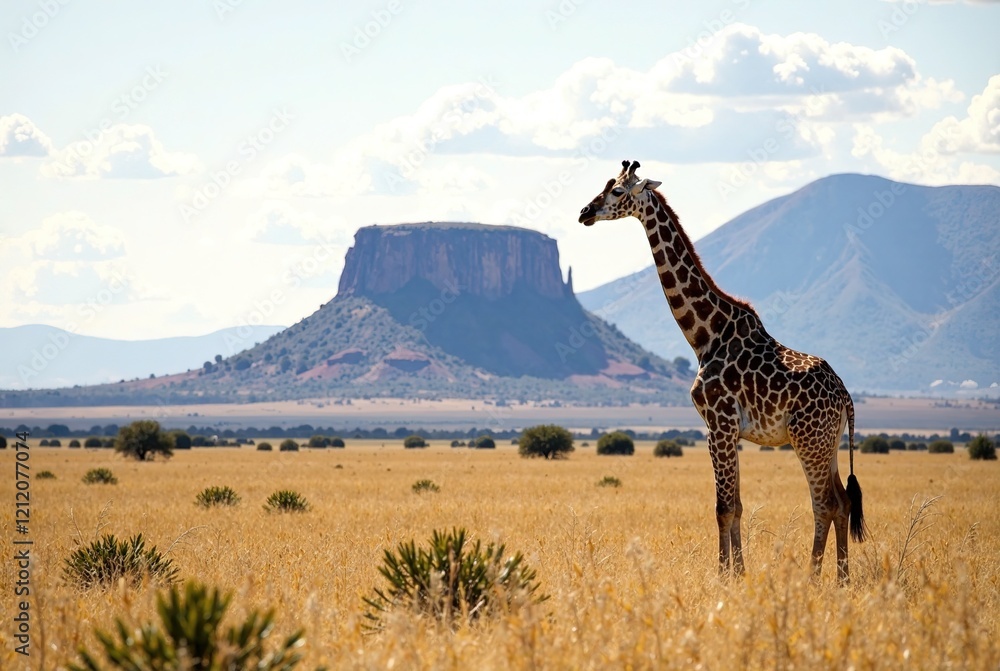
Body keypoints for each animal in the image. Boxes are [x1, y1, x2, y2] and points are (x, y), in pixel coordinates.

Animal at [579, 160, 866, 583]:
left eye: (616, 191)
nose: (584, 213)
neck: (704, 335)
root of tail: (845, 395)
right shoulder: (727, 429)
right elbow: (738, 505)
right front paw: (738, 574)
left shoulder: (719, 423)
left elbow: (723, 507)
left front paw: (721, 576)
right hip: (828, 442)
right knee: (843, 501)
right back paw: (841, 579)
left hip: (808, 439)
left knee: (825, 503)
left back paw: (812, 578)